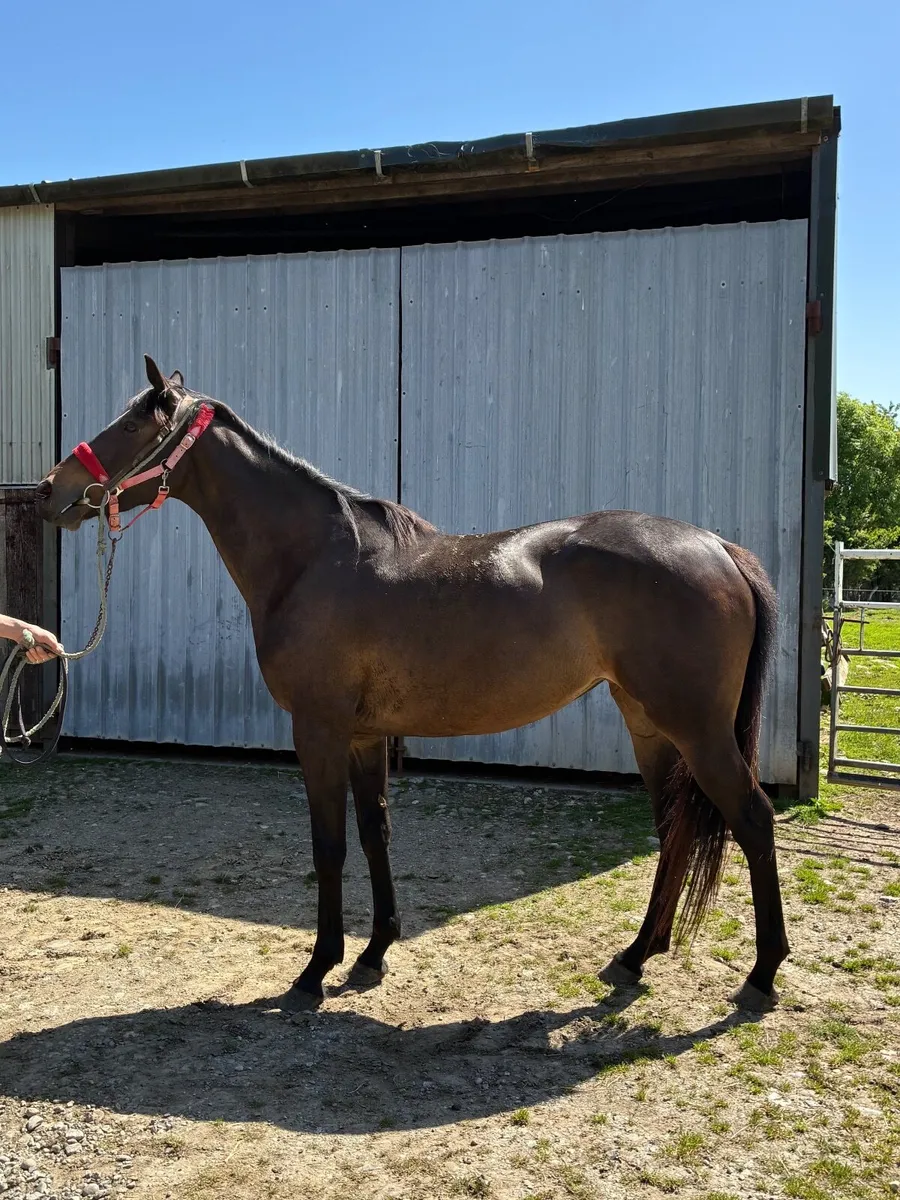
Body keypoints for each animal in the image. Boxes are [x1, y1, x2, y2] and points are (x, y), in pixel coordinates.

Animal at [36, 354, 789, 1013]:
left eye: (132, 425)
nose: (51, 491)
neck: (313, 559)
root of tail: (719, 548)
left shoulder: (318, 730)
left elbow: (330, 845)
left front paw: (316, 969)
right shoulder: (364, 735)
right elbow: (375, 833)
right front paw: (374, 953)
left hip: (698, 732)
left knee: (752, 818)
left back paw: (761, 974)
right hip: (650, 727)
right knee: (674, 832)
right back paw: (637, 955)